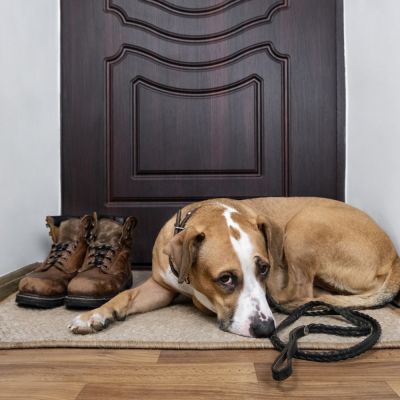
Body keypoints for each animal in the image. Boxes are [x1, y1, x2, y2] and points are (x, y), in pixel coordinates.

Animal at [69, 197, 400, 338]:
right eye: (226, 278)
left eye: (264, 269)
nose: (266, 330)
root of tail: (393, 258)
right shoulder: (160, 287)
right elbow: (124, 296)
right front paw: (95, 315)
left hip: (303, 226)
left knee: (300, 292)